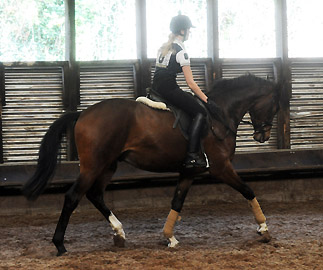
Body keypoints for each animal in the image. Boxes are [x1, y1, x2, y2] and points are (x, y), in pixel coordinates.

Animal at [22, 73, 280, 255]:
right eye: (275, 106)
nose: (263, 136)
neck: (219, 115)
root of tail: (83, 114)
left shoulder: (189, 171)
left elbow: (177, 201)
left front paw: (169, 238)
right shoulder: (221, 167)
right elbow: (248, 190)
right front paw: (264, 229)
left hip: (108, 165)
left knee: (95, 195)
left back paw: (119, 234)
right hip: (93, 166)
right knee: (73, 197)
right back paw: (60, 245)